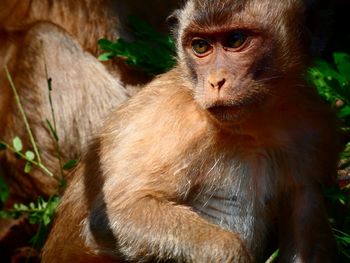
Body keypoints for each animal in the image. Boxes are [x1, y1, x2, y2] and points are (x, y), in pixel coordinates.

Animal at [39, 0, 340, 263]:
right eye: (200, 46)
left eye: (235, 41)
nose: (215, 81)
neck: (255, 124)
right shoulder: (177, 122)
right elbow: (113, 215)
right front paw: (228, 254)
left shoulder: (316, 128)